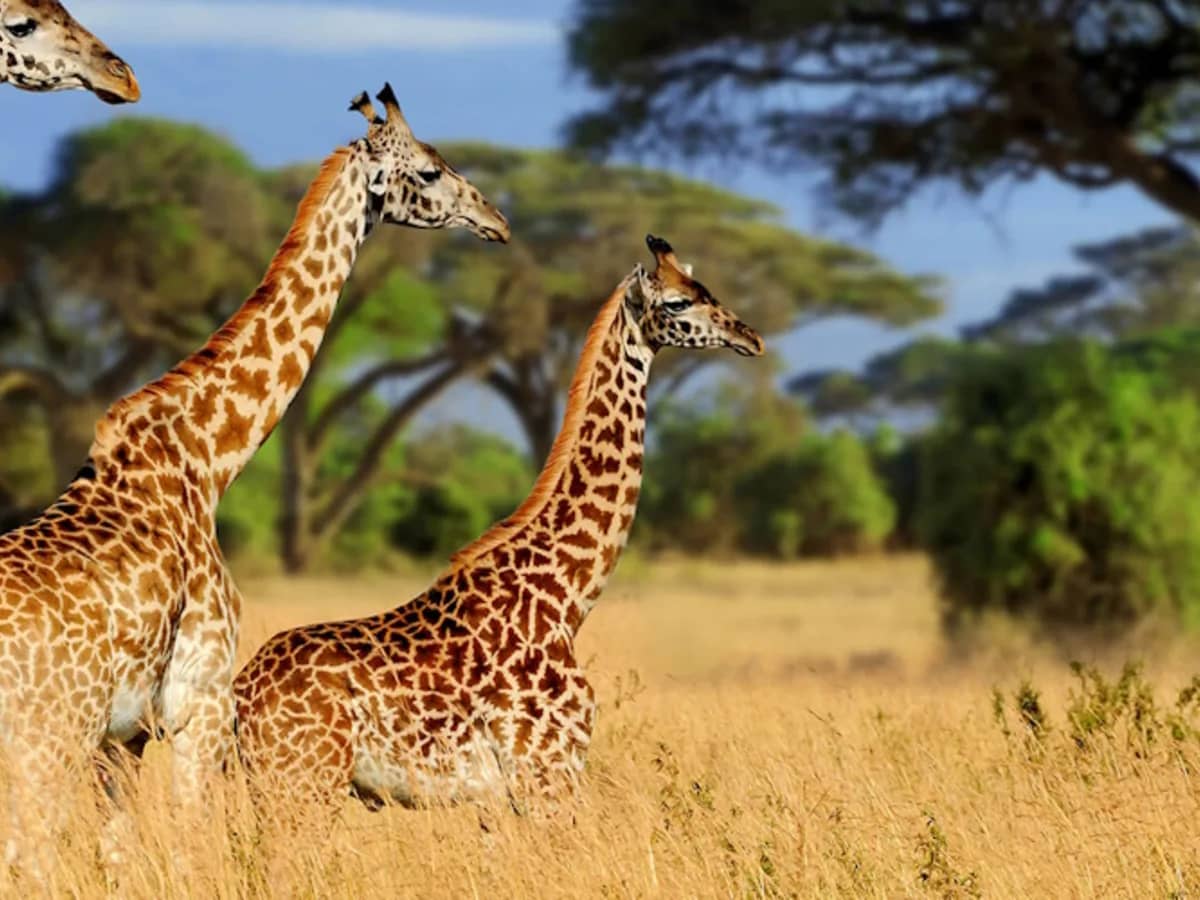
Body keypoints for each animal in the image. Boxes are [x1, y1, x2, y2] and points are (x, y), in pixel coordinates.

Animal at [0, 84, 508, 859]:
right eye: (428, 169)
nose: (496, 221)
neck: (207, 459)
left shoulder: (123, 737)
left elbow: (120, 852)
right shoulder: (199, 704)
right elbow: (186, 844)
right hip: (42, 738)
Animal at [234, 234, 764, 827]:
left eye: (705, 288)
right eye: (676, 302)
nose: (750, 337)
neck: (568, 595)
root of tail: (239, 694)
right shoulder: (547, 773)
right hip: (302, 784)